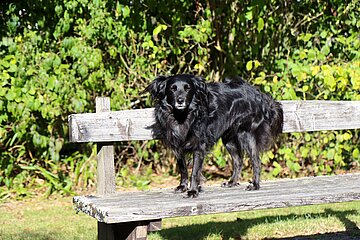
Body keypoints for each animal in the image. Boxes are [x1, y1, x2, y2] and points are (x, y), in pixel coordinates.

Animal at [145, 74, 282, 197]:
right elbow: (183, 168)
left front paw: (193, 191)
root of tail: (259, 94)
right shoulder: (177, 146)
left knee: (255, 160)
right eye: (172, 88)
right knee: (238, 161)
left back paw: (255, 185)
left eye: (187, 88)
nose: (180, 100)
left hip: (246, 134)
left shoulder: (199, 146)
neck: (182, 116)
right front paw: (182, 187)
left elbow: (194, 171)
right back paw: (232, 182)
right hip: (228, 139)